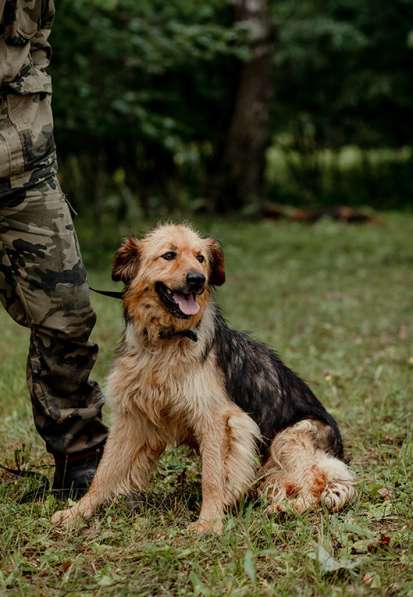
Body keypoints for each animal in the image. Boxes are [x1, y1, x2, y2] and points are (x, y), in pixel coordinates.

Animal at [52, 222, 354, 532]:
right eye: (169, 255)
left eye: (201, 258)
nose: (198, 280)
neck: (166, 342)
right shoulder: (132, 416)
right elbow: (104, 472)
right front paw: (77, 513)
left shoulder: (218, 419)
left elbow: (212, 475)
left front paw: (209, 523)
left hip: (289, 438)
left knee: (326, 483)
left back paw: (286, 508)